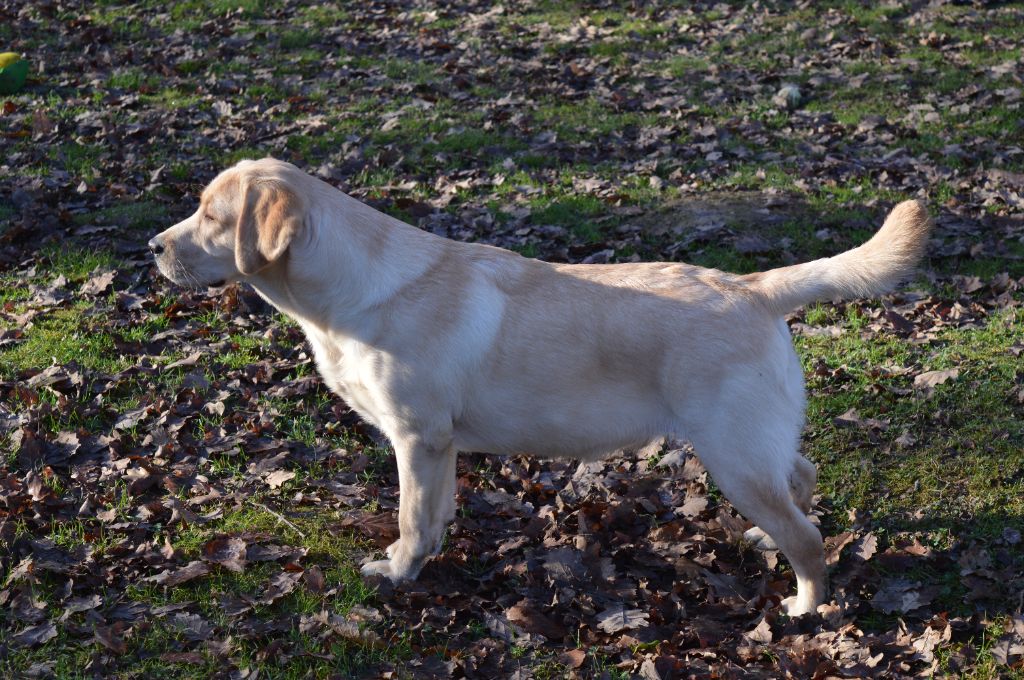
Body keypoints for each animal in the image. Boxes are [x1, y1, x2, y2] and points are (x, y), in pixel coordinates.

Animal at [149, 159, 929, 614]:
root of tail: (754, 286)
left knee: (810, 537)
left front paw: (398, 572)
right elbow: (434, 513)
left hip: (734, 457)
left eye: (212, 217)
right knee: (804, 475)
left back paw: (805, 607)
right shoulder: (438, 448)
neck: (345, 292)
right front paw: (426, 558)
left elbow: (410, 516)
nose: (154, 247)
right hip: (755, 447)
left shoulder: (417, 438)